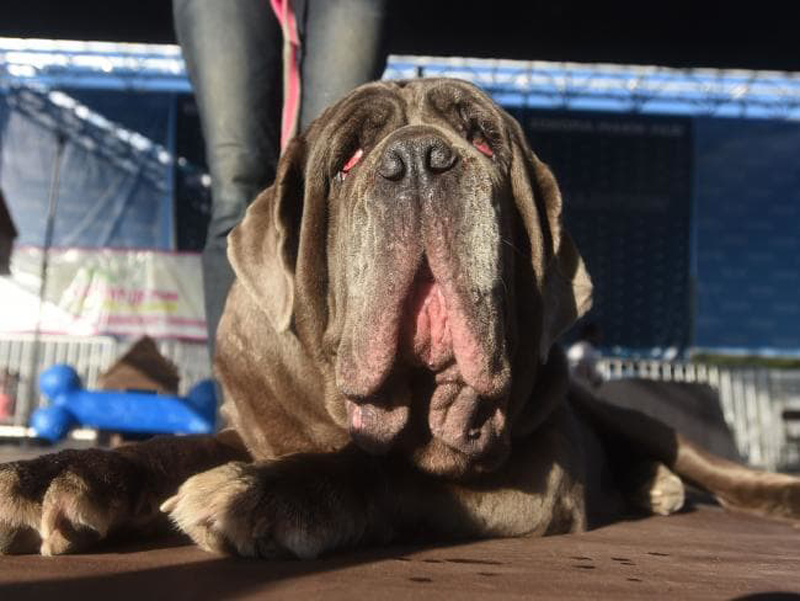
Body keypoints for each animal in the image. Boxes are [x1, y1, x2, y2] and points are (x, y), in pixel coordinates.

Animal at [1, 81, 800, 556]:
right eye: (349, 159)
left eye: (484, 141)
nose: (419, 159)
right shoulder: (254, 428)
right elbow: (170, 448)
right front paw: (53, 475)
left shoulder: (531, 481)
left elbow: (385, 472)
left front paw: (258, 493)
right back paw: (651, 487)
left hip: (638, 416)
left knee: (712, 467)